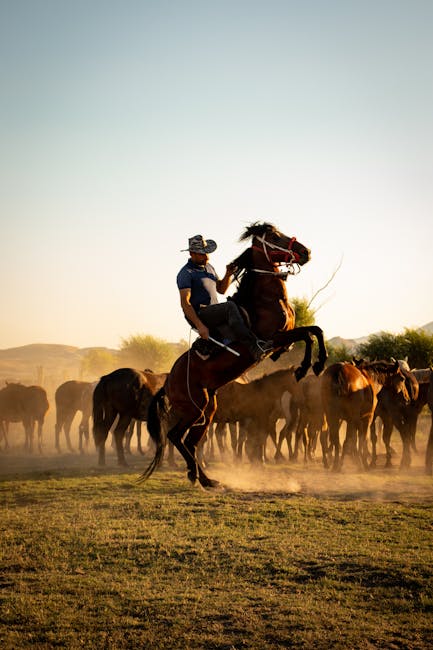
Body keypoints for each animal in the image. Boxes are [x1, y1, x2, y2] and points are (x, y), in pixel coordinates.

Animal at [140, 221, 326, 486]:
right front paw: (307, 367)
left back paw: (205, 479)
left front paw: (315, 364)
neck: (264, 300)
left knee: (190, 442)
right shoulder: (274, 339)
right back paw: (196, 474)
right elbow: (309, 334)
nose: (305, 251)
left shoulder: (283, 341)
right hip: (194, 408)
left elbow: (315, 331)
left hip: (207, 410)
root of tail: (168, 382)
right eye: (274, 237)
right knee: (176, 436)